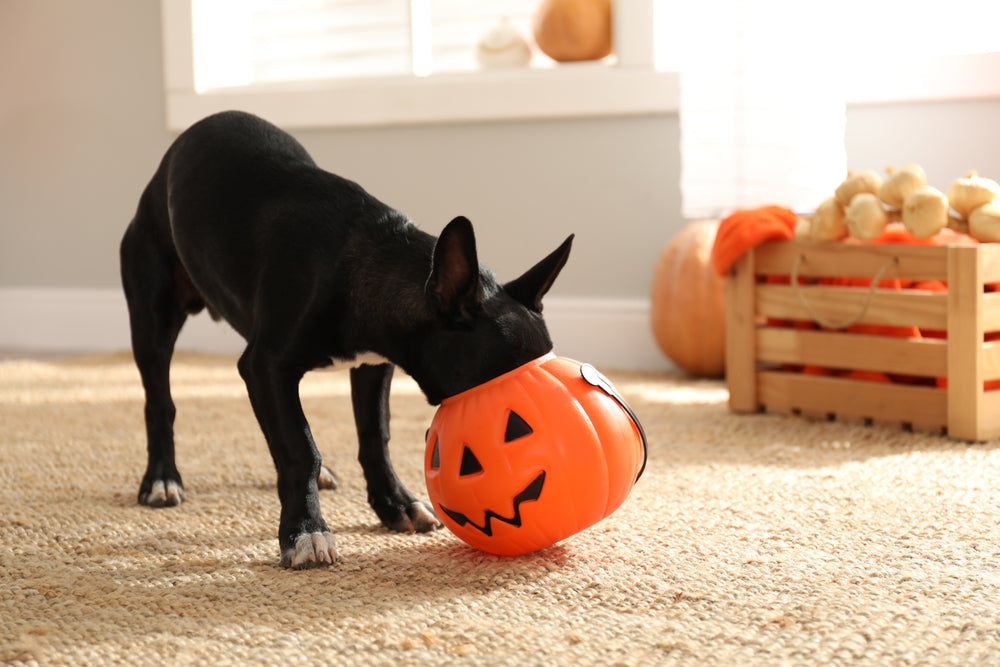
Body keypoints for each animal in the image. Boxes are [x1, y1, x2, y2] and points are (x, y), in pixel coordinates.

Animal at [119, 109, 572, 568]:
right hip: (153, 317)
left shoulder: (373, 365)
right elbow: (300, 448)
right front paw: (305, 530)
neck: (364, 259)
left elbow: (374, 436)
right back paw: (162, 479)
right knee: (159, 401)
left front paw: (395, 504)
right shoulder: (266, 366)